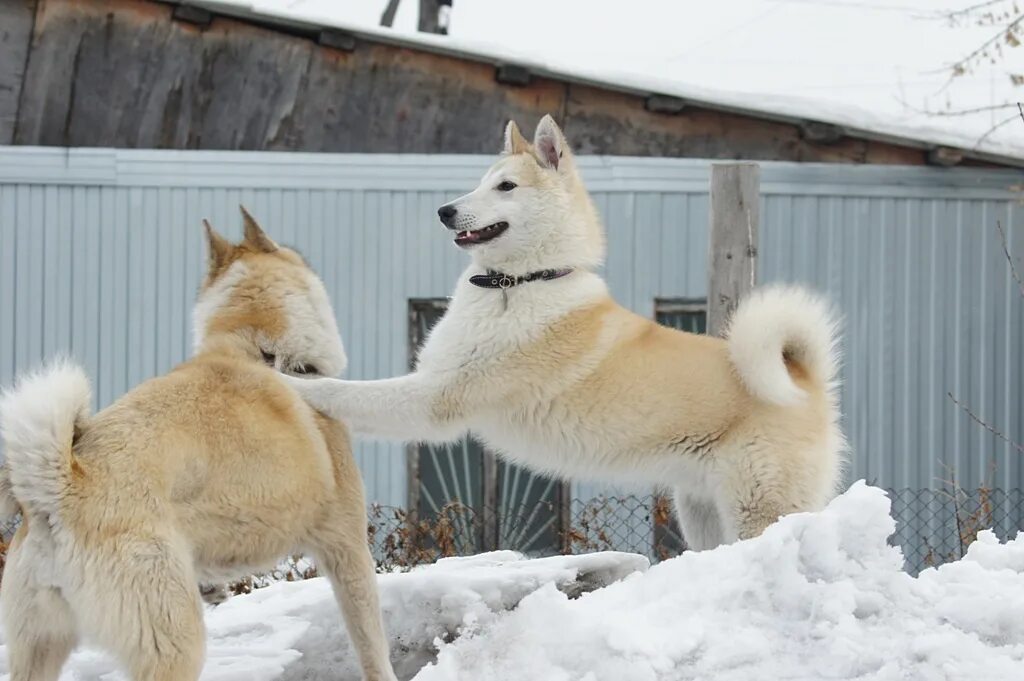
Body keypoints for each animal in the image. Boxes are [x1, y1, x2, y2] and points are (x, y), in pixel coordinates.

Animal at [0, 210, 395, 679]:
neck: (258, 347)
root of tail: (61, 487)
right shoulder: (346, 546)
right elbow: (372, 646)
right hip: (175, 643)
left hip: (40, 647)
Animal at [290, 115, 847, 552]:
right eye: (480, 182)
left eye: (506, 187)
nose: (445, 211)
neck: (520, 284)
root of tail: (803, 376)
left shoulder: (436, 397)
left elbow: (344, 392)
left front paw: (293, 386)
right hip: (701, 511)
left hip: (756, 507)